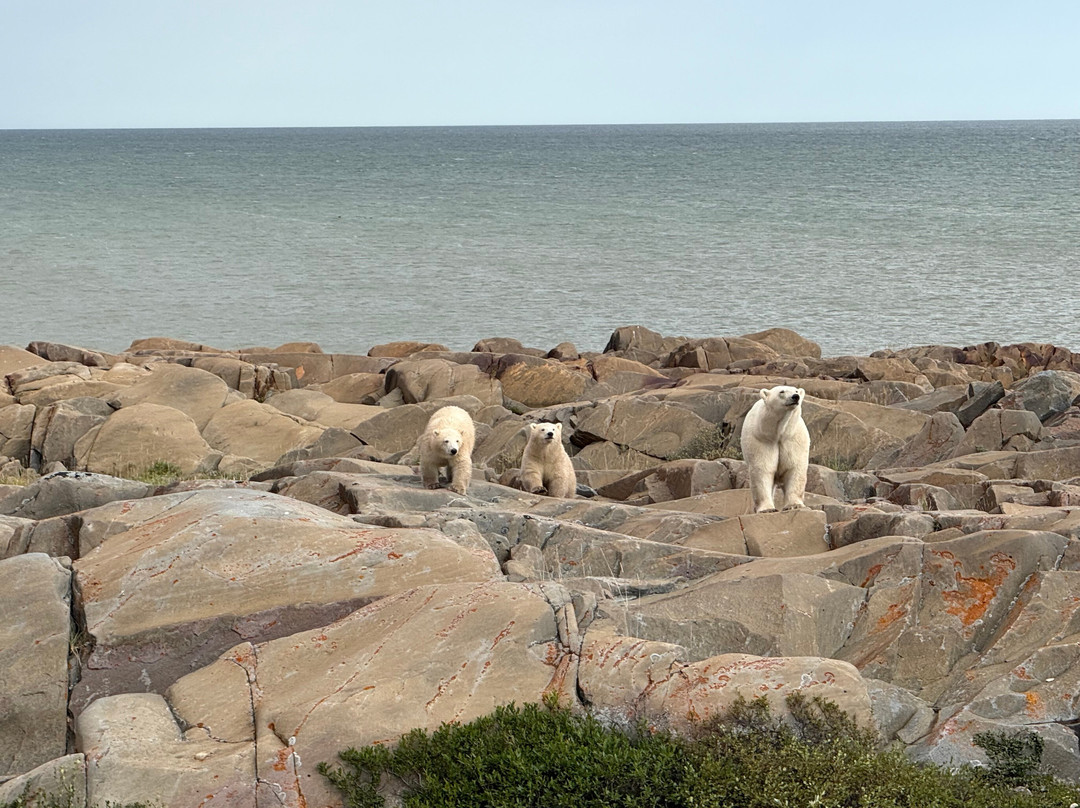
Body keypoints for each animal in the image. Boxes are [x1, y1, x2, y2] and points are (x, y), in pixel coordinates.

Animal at [740, 385, 810, 513]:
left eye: (796, 391)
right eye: (781, 391)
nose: (795, 397)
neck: (778, 433)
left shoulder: (794, 439)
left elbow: (794, 468)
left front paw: (795, 505)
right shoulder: (762, 440)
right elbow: (763, 470)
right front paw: (767, 509)